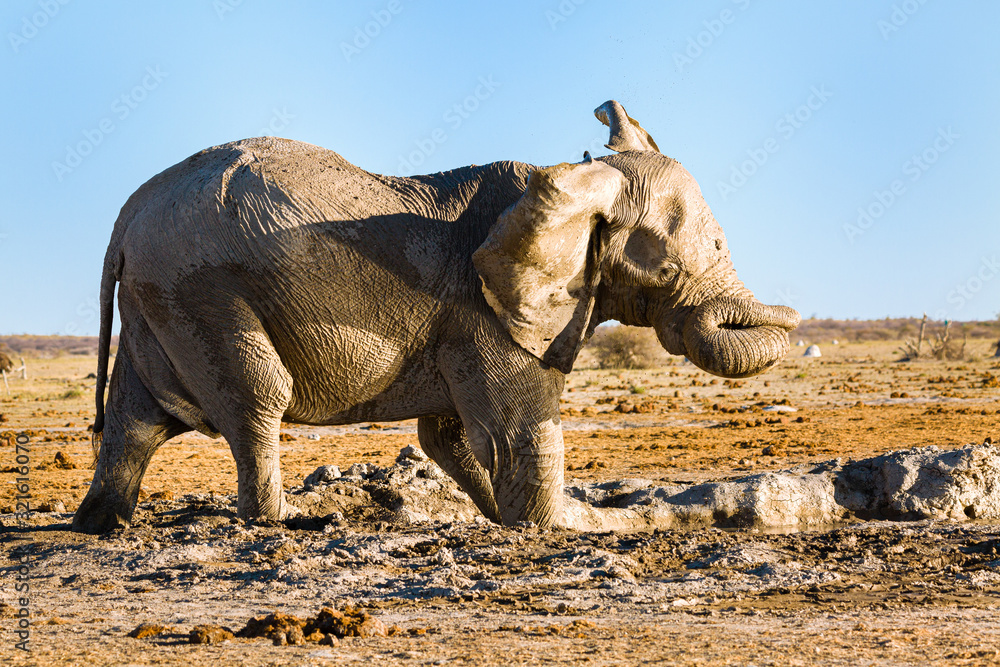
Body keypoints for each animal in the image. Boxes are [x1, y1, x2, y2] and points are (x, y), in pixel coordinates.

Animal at [72, 100, 800, 534]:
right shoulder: (485, 312)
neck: (564, 179)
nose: (796, 316)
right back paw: (292, 520)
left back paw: (100, 523)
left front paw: (512, 517)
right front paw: (574, 522)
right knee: (258, 399)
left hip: (158, 300)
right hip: (205, 293)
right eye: (678, 259)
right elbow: (518, 433)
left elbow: (448, 435)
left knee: (133, 420)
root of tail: (126, 217)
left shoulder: (462, 323)